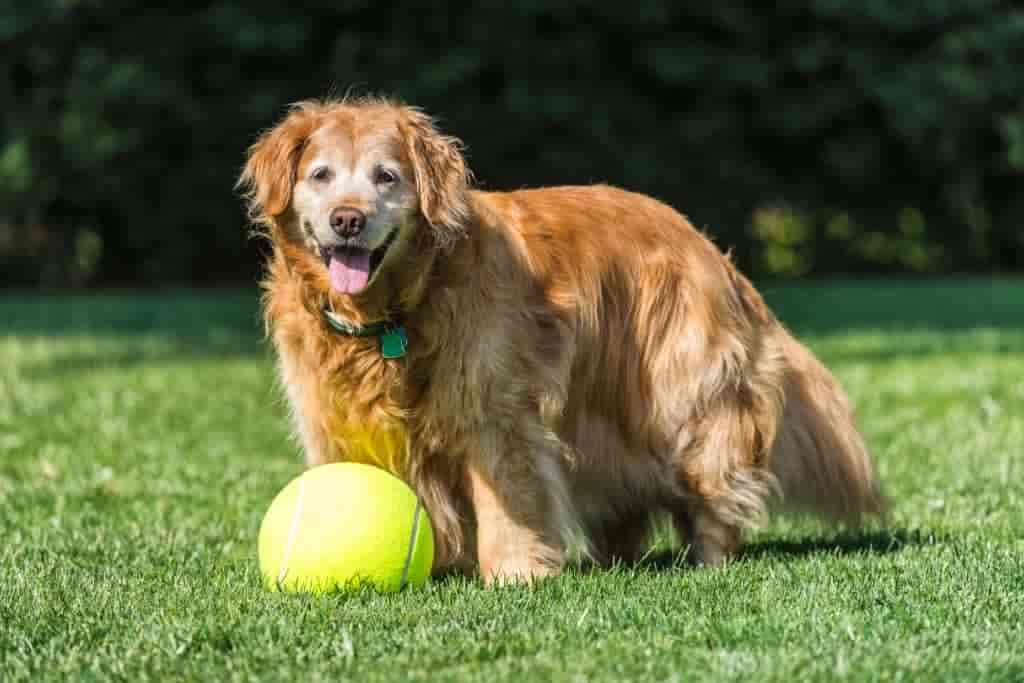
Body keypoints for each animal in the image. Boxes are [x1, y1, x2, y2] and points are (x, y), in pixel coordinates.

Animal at [235, 98, 884, 585]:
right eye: (320, 176)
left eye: (386, 178)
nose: (347, 219)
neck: (393, 312)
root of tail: (707, 245)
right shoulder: (337, 420)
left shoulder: (494, 406)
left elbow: (505, 493)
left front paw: (515, 571)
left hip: (681, 397)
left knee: (713, 477)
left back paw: (710, 555)